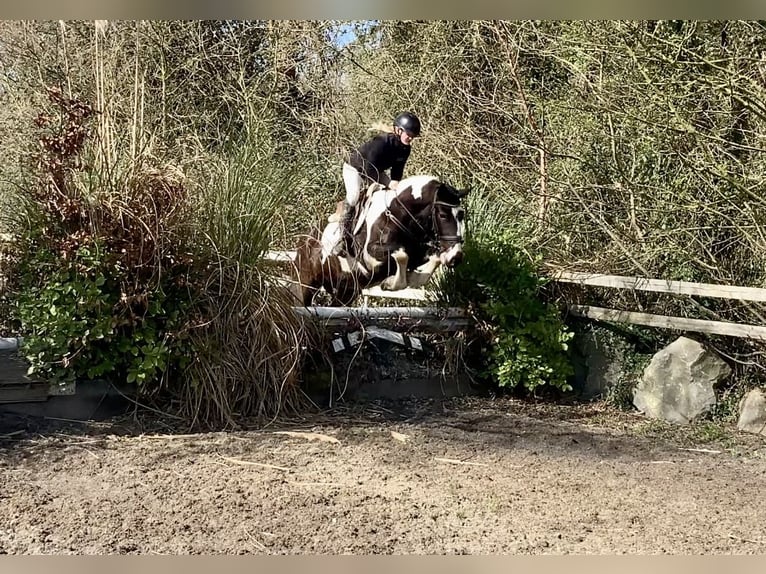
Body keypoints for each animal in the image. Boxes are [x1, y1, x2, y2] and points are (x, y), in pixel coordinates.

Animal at [293, 174, 469, 306]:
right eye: (443, 215)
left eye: (461, 215)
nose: (456, 257)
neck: (398, 215)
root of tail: (303, 242)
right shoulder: (371, 254)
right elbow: (401, 255)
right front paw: (390, 283)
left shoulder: (419, 255)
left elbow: (433, 260)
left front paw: (411, 279)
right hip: (306, 283)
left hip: (347, 291)